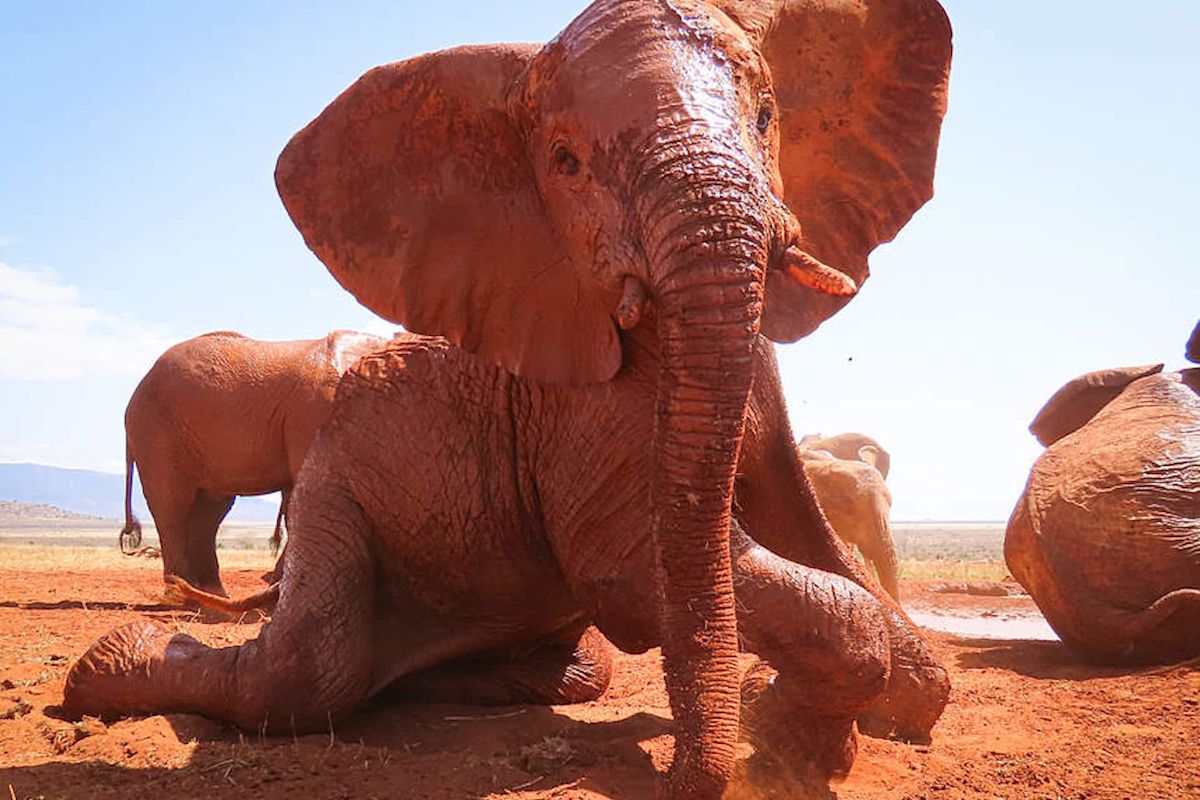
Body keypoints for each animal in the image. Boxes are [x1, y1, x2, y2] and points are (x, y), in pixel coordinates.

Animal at [120, 329, 387, 595]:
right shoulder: (317, 413)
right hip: (157, 431)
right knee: (173, 506)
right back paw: (182, 595)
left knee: (209, 511)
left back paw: (210, 595)